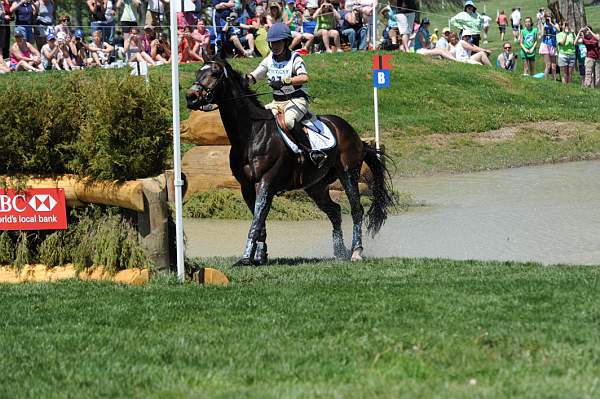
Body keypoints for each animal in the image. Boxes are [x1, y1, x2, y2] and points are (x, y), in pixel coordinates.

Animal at [185, 58, 396, 266]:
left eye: (214, 74)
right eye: (198, 73)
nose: (191, 97)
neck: (251, 133)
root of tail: (354, 134)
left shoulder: (266, 183)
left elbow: (257, 220)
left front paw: (246, 259)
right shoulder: (247, 187)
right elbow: (259, 221)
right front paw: (260, 257)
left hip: (348, 173)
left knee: (356, 210)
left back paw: (356, 252)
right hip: (316, 186)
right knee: (335, 212)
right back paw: (340, 252)